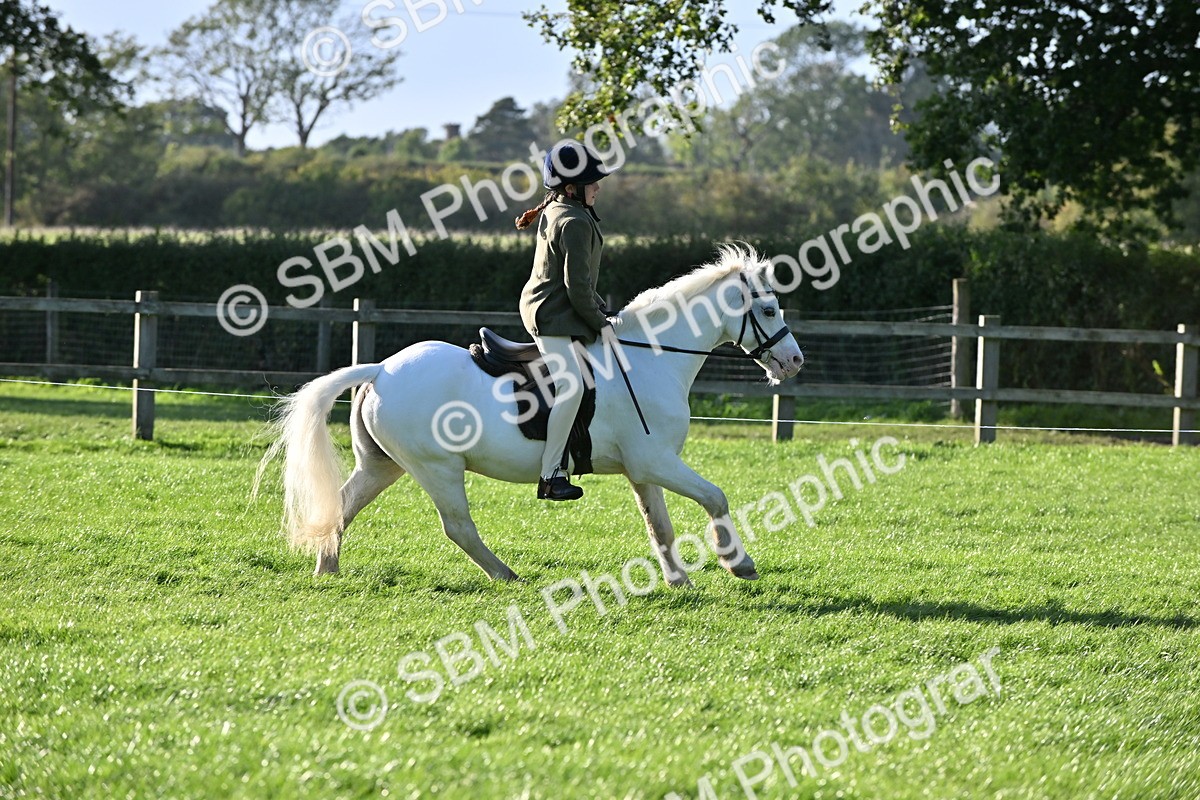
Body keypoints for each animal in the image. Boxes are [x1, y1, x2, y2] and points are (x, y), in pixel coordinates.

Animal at [257, 245, 804, 586]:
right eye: (770, 310)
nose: (795, 361)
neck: (650, 357)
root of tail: (382, 369)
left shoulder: (643, 468)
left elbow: (661, 527)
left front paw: (678, 580)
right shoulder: (657, 462)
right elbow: (715, 497)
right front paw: (739, 563)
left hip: (382, 465)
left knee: (342, 506)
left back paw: (327, 571)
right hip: (437, 468)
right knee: (457, 526)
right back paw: (506, 575)